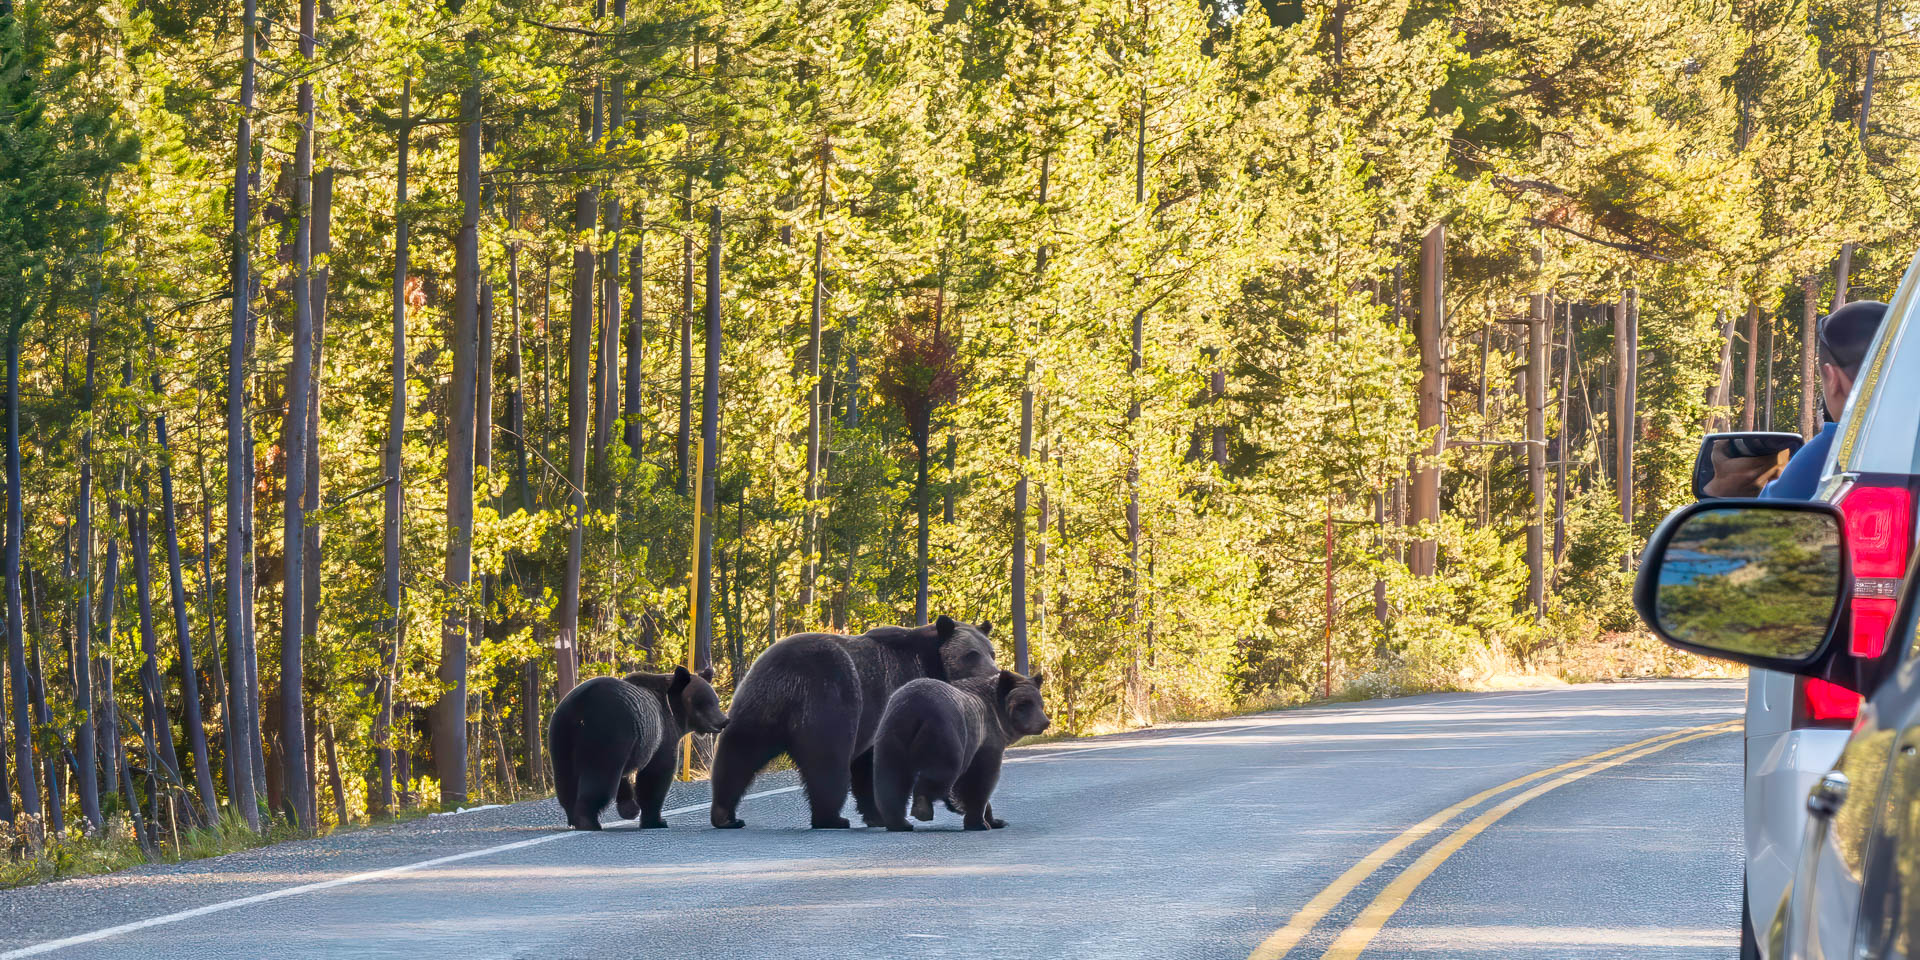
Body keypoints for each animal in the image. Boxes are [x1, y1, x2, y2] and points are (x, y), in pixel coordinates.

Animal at [556, 664, 733, 829]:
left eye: (715, 700)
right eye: (704, 702)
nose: (724, 721)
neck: (676, 715)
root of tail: (581, 707)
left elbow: (626, 778)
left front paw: (630, 808)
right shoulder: (661, 736)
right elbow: (656, 776)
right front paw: (656, 820)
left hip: (563, 735)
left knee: (566, 780)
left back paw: (573, 817)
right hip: (606, 729)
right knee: (600, 777)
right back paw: (588, 821)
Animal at [710, 618, 1006, 829]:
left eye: (991, 652)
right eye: (971, 654)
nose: (995, 673)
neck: (933, 664)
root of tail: (787, 679)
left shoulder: (876, 726)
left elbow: (867, 767)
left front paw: (877, 814)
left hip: (755, 705)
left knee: (736, 756)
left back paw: (725, 815)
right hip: (831, 699)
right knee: (828, 763)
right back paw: (831, 818)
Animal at [875, 668, 1052, 833]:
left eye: (1040, 703)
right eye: (1024, 704)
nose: (1044, 722)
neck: (997, 714)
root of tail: (913, 709)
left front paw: (996, 820)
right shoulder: (985, 742)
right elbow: (981, 780)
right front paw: (980, 822)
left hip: (891, 735)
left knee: (891, 780)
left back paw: (899, 822)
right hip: (945, 732)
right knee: (942, 772)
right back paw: (922, 808)